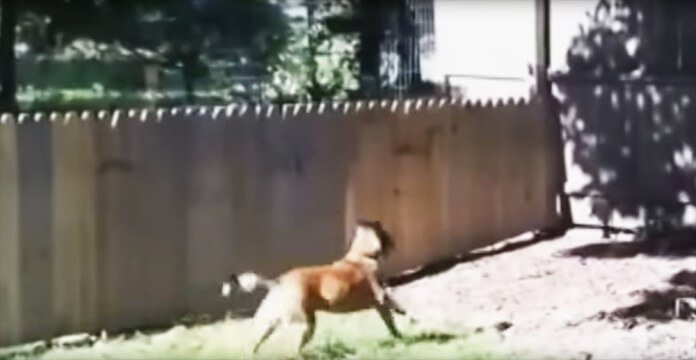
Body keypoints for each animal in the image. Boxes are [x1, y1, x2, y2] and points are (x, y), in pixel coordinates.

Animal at [220, 219, 410, 354]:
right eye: (386, 235)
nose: (394, 243)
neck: (362, 255)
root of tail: (278, 282)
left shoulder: (379, 305)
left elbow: (390, 323)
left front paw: (399, 337)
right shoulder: (381, 297)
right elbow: (395, 306)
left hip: (271, 322)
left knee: (258, 341)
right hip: (304, 324)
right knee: (295, 349)